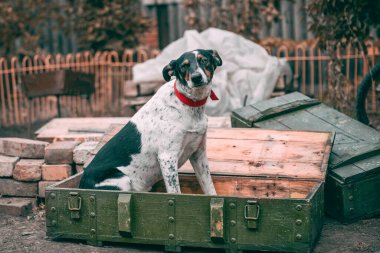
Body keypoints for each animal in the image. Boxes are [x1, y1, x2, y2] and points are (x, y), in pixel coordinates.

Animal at [80, 49, 223, 195]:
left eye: (204, 60)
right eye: (184, 66)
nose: (196, 77)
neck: (190, 104)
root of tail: (81, 185)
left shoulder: (198, 153)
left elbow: (210, 188)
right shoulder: (167, 157)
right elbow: (175, 192)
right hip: (122, 180)